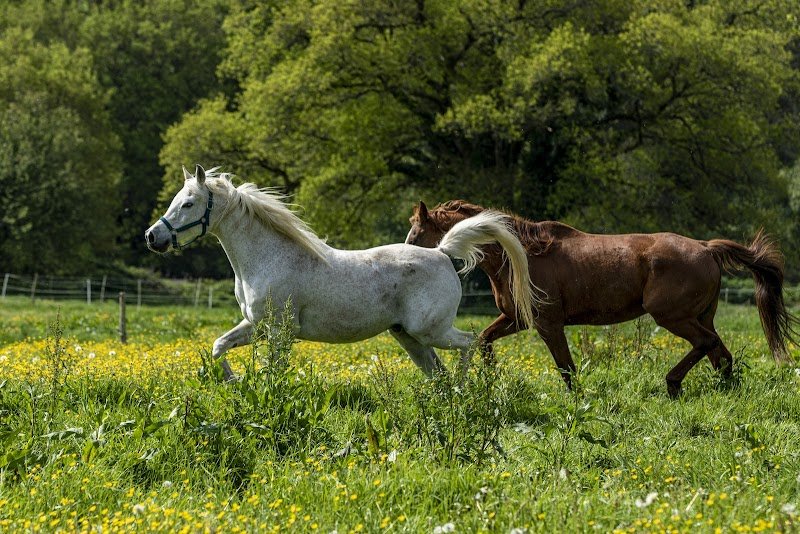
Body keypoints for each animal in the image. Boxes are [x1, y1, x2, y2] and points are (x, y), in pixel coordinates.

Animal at [144, 166, 536, 380]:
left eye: (188, 203)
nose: (152, 237)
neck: (267, 257)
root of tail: (441, 253)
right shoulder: (256, 325)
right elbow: (218, 347)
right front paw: (234, 381)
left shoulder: (279, 331)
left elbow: (273, 370)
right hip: (408, 336)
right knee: (439, 371)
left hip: (430, 330)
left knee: (471, 343)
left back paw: (466, 388)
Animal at [406, 200, 799, 398]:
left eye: (417, 231)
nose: (406, 252)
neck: (522, 254)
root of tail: (706, 247)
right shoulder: (516, 319)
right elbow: (485, 340)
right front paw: (492, 378)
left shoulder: (549, 324)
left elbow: (566, 367)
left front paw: (576, 400)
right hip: (701, 316)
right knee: (720, 354)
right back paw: (723, 391)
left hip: (673, 317)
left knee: (707, 345)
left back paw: (672, 384)